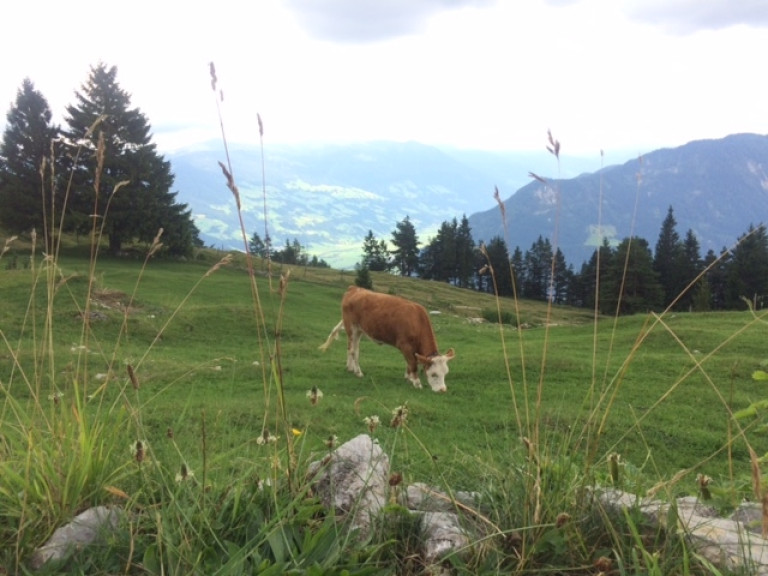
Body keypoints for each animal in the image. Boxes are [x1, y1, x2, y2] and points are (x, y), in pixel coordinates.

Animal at [319, 286, 455, 392]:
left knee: (351, 348)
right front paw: (416, 383)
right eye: (434, 374)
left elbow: (410, 363)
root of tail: (354, 288)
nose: (442, 390)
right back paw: (358, 372)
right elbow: (412, 363)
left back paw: (350, 368)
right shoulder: (404, 345)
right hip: (351, 327)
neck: (417, 321)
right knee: (353, 351)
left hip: (358, 330)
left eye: (446, 373)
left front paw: (408, 377)